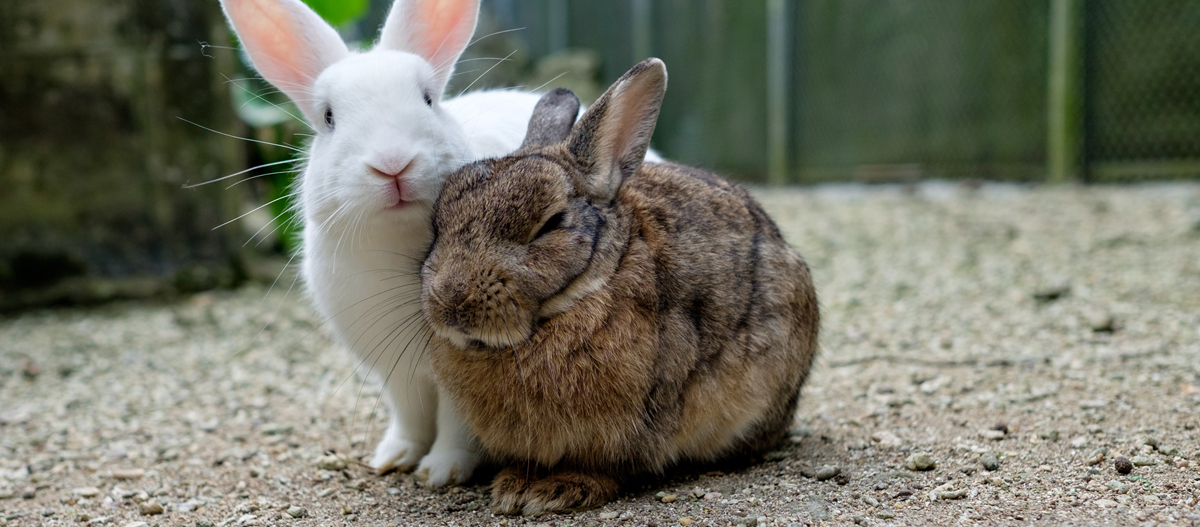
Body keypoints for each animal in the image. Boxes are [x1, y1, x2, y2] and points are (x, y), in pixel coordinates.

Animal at [219, 0, 665, 487]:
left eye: (428, 99)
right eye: (328, 117)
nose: (392, 163)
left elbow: (458, 423)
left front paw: (441, 470)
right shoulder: (396, 375)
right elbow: (409, 416)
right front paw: (393, 457)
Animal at [420, 58, 820, 515]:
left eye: (551, 224)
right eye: (438, 224)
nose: (450, 298)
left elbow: (614, 465)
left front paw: (554, 490)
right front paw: (515, 485)